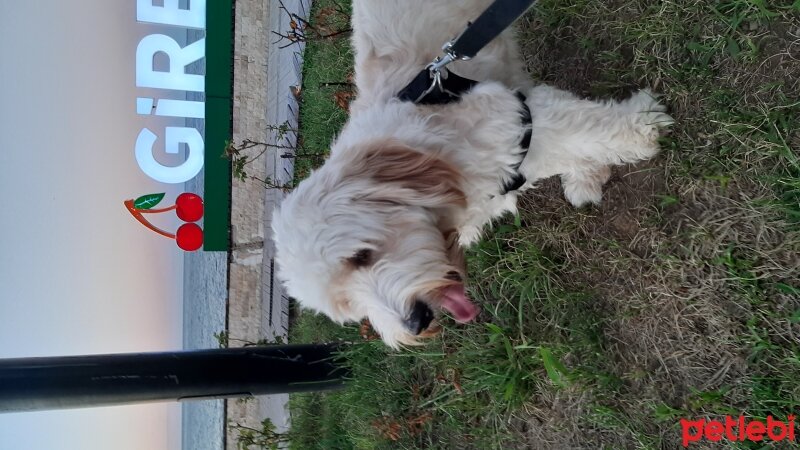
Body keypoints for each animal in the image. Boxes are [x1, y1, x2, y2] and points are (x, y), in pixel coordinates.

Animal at [272, 0, 672, 348]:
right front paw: (587, 174)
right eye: (349, 308)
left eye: (362, 256)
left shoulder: (519, 118)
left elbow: (592, 128)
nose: (416, 322)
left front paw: (644, 128)